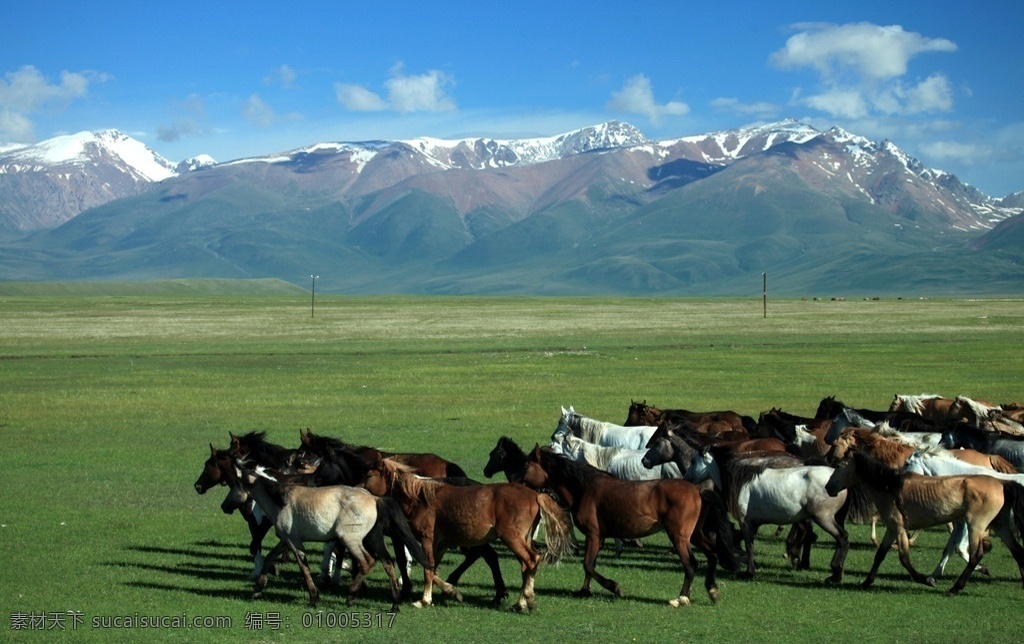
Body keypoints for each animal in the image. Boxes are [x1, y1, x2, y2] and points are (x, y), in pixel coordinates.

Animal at [222, 462, 425, 606]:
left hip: (351, 540)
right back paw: (395, 603)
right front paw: (258, 587)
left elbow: (303, 567)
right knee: (387, 562)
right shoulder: (287, 539)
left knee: (367, 562)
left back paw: (351, 595)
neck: (281, 500)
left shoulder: (294, 542)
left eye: (235, 484)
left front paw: (314, 597)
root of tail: (375, 499)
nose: (224, 506)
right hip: (372, 539)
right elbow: (270, 557)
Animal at [368, 454, 577, 610]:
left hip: (512, 538)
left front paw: (424, 600)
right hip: (522, 539)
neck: (420, 497)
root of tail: (535, 495)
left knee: (531, 560)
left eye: (369, 475)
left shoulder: (427, 539)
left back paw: (526, 600)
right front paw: (451, 591)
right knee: (526, 566)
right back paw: (519, 602)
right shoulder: (440, 544)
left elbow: (428, 569)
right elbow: (433, 569)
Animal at [520, 444, 737, 606]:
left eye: (526, 466)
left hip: (679, 537)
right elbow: (591, 565)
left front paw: (615, 587)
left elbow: (588, 564)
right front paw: (584, 590)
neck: (584, 488)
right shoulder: (598, 538)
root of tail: (697, 489)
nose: (516, 483)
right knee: (712, 555)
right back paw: (712, 590)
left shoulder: (594, 535)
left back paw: (681, 598)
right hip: (695, 535)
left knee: (691, 564)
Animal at [684, 444, 851, 585]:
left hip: (823, 518)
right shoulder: (753, 524)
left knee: (842, 538)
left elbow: (749, 545)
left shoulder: (745, 522)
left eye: (693, 461)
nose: (685, 478)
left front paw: (749, 572)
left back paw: (834, 574)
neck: (740, 480)